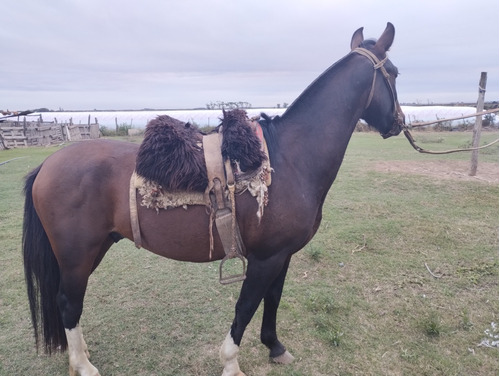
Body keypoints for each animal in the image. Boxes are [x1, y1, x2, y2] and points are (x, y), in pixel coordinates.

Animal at [22, 23, 406, 376]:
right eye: (395, 72)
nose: (398, 121)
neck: (290, 159)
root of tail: (46, 165)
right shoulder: (266, 259)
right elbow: (246, 306)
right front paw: (231, 363)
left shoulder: (282, 255)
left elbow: (272, 299)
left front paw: (274, 346)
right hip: (77, 255)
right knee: (68, 303)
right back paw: (84, 366)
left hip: (95, 248)